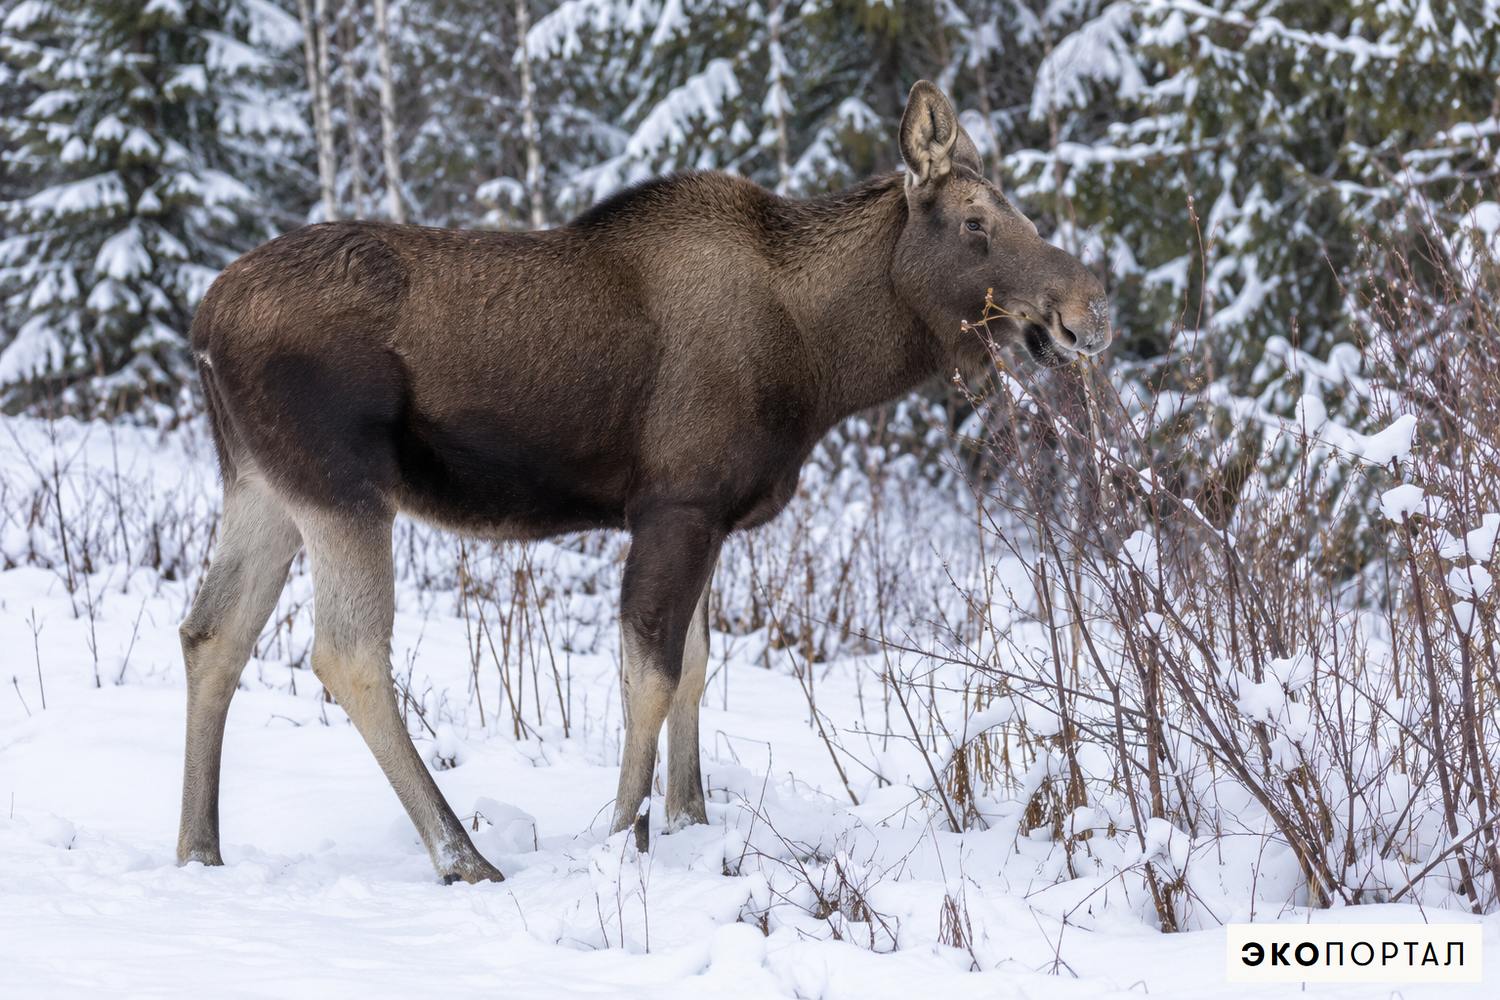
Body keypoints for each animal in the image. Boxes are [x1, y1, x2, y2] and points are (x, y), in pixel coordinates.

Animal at [177, 81, 1110, 883]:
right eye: (977, 220)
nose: (1087, 310)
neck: (824, 361)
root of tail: (203, 319)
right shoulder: (676, 504)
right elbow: (650, 675)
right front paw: (623, 836)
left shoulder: (709, 519)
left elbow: (695, 667)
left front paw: (690, 820)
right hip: (343, 486)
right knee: (347, 652)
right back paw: (463, 857)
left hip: (263, 484)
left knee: (211, 633)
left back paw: (199, 849)